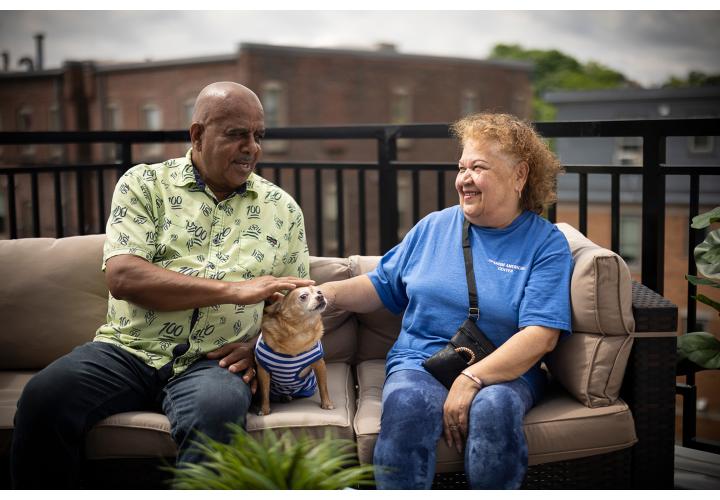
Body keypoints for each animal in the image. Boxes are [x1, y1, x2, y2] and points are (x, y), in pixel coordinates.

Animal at [255, 284, 336, 416]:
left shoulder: (319, 364)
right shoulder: (263, 371)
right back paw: (284, 397)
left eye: (319, 291)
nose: (320, 296)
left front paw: (327, 403)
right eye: (303, 296)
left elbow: (323, 386)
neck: (299, 331)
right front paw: (265, 410)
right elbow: (264, 393)